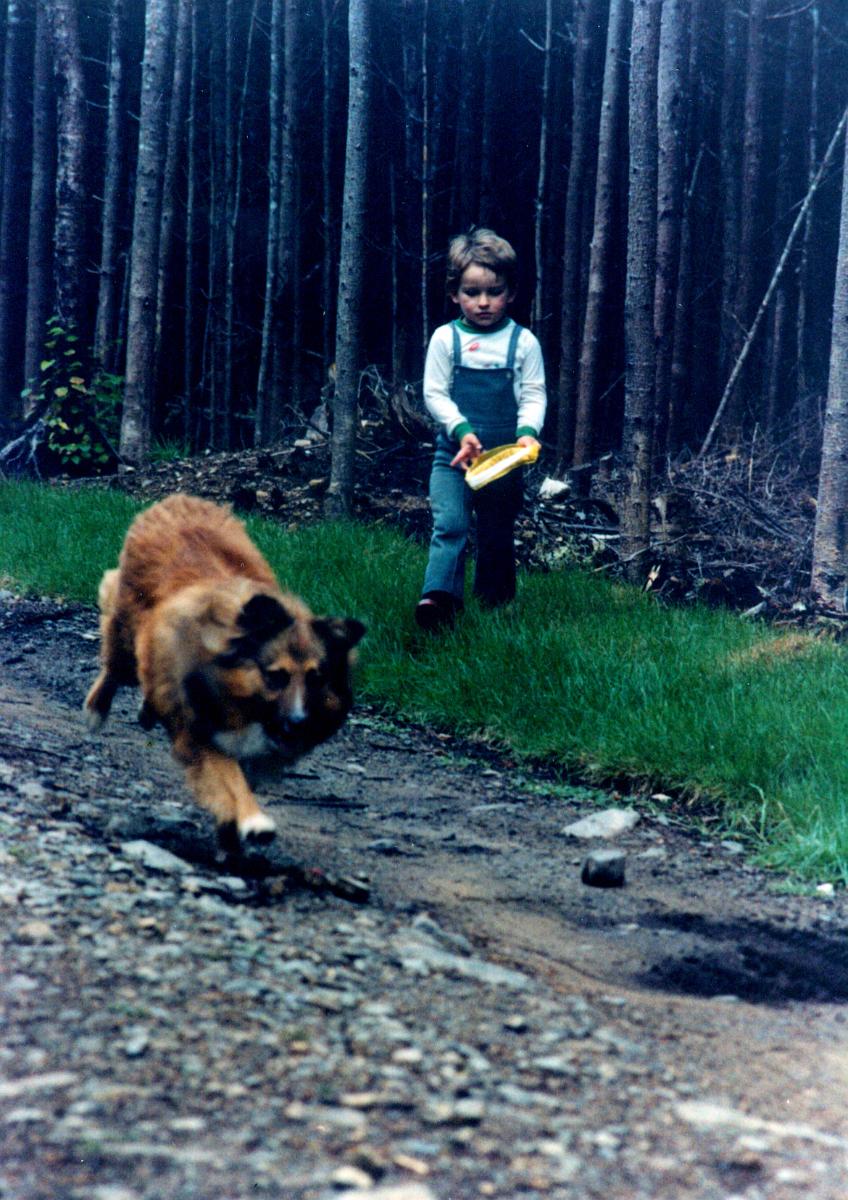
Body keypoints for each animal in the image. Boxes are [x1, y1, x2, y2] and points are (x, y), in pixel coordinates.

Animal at [83, 493, 365, 850]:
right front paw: (254, 822)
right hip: (127, 630)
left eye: (316, 678)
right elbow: (230, 781)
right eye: (276, 676)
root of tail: (178, 498)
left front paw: (230, 833)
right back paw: (97, 710)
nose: (298, 723)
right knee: (114, 667)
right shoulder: (201, 736)